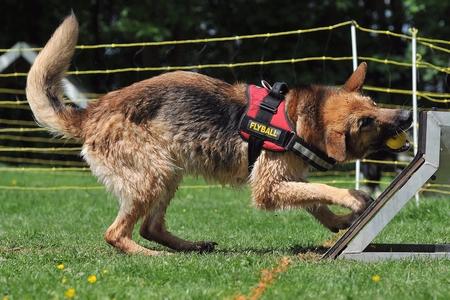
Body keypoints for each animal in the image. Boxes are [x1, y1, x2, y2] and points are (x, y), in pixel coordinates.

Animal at [25, 14, 412, 255]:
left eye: (373, 103)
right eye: (365, 122)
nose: (407, 115)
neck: (298, 118)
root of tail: (92, 112)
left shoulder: (285, 179)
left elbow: (313, 199)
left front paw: (339, 221)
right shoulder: (269, 187)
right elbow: (321, 189)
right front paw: (353, 198)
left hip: (169, 172)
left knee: (150, 227)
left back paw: (190, 247)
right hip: (154, 174)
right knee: (116, 234)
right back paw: (152, 255)